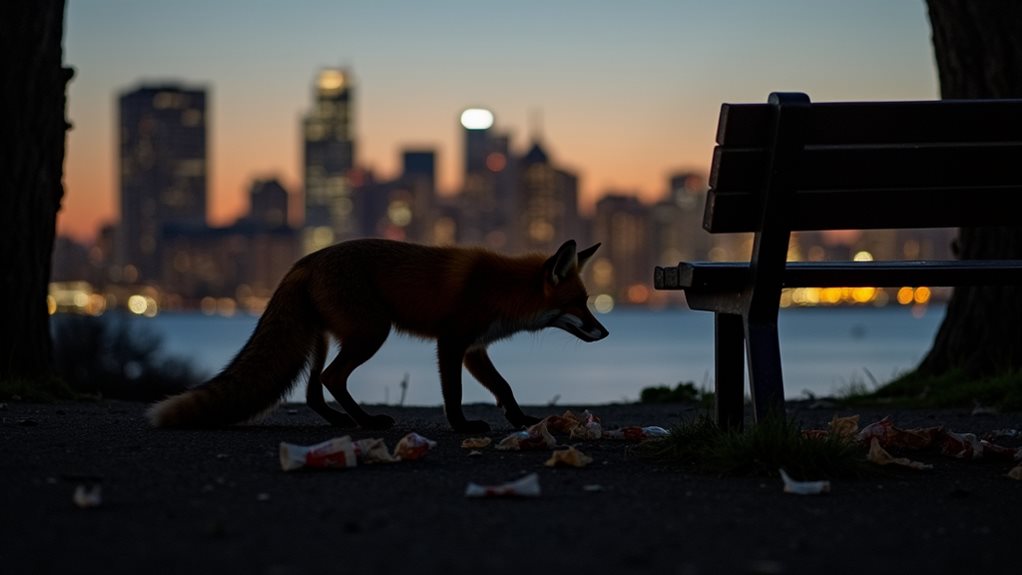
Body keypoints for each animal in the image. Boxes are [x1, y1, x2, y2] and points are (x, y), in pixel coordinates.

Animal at [146, 238, 609, 433]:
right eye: (579, 304)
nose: (605, 332)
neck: (501, 288)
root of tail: (305, 260)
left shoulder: (474, 348)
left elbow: (505, 387)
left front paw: (520, 420)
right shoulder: (452, 342)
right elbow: (455, 394)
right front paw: (462, 426)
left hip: (325, 337)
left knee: (314, 390)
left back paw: (342, 420)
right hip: (371, 332)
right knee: (332, 379)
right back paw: (366, 421)